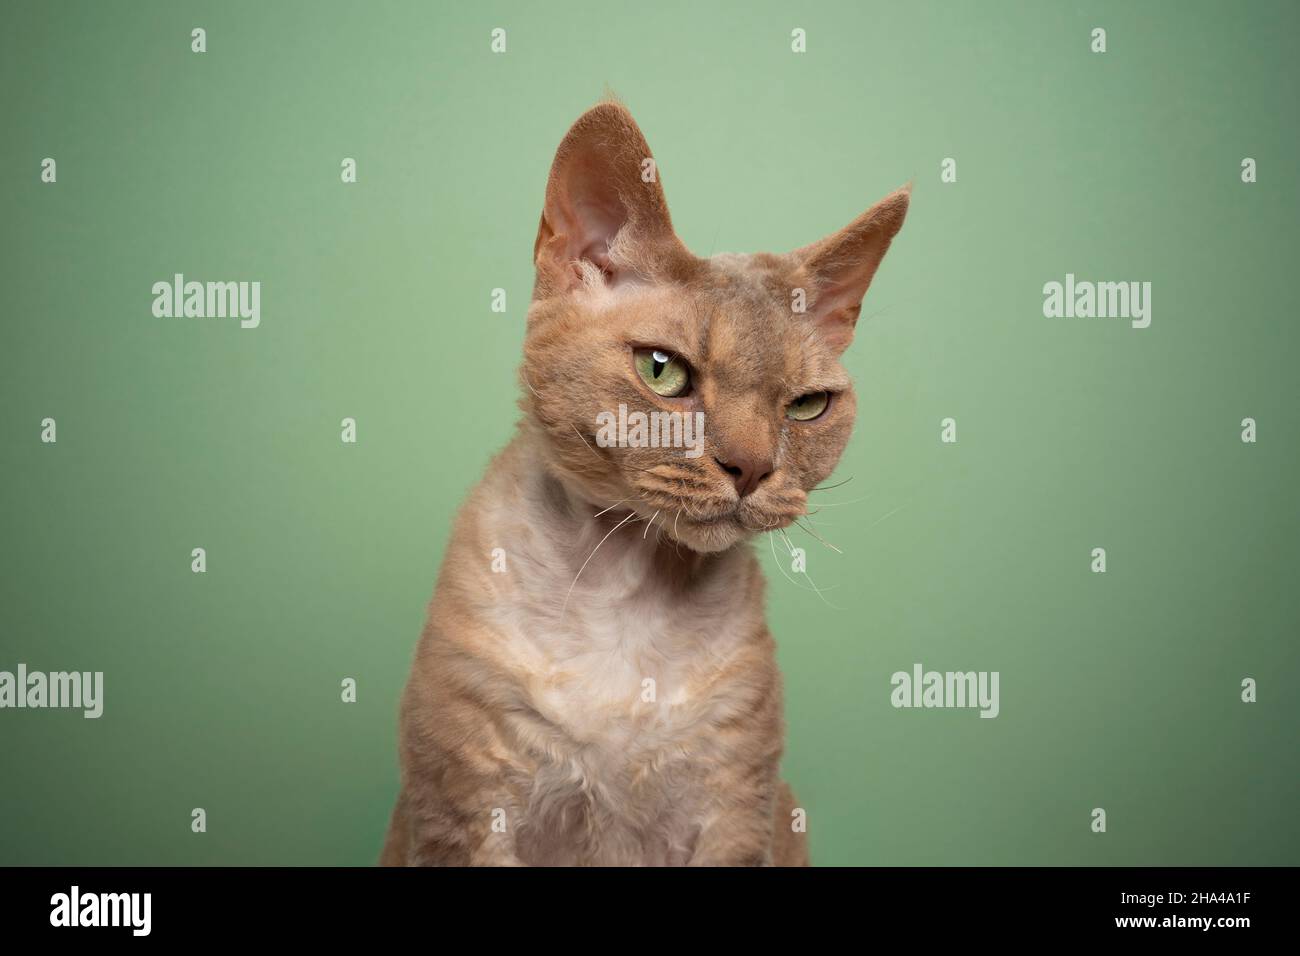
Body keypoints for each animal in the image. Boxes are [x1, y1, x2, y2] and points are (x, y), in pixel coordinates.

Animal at [379, 98, 909, 868]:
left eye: (807, 406)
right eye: (662, 371)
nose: (752, 468)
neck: (623, 583)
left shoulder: (734, 814)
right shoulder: (466, 812)